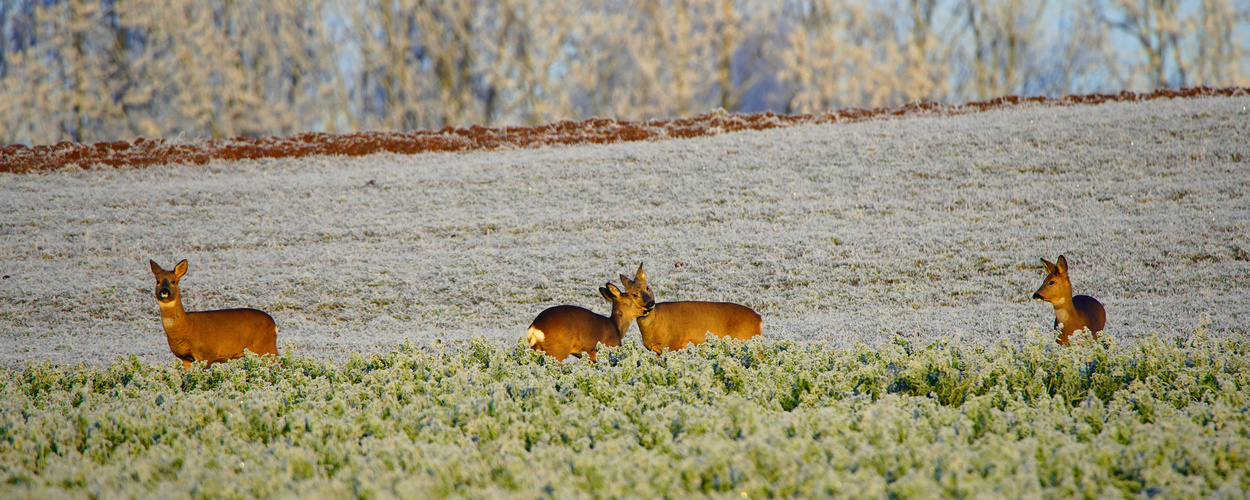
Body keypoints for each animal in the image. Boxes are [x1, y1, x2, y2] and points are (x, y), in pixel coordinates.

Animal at [148, 260, 278, 370]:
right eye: (158, 281)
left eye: (173, 281)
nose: (164, 291)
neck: (186, 327)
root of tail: (274, 325)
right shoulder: (185, 358)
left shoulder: (207, 354)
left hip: (267, 349)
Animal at [522, 283, 650, 362]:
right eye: (635, 296)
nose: (648, 308)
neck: (616, 328)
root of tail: (534, 327)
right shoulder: (606, 348)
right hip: (557, 351)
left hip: (537, 350)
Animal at [617, 261, 760, 355]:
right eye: (634, 294)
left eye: (647, 287)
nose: (650, 303)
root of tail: (759, 319)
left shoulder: (674, 344)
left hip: (745, 340)